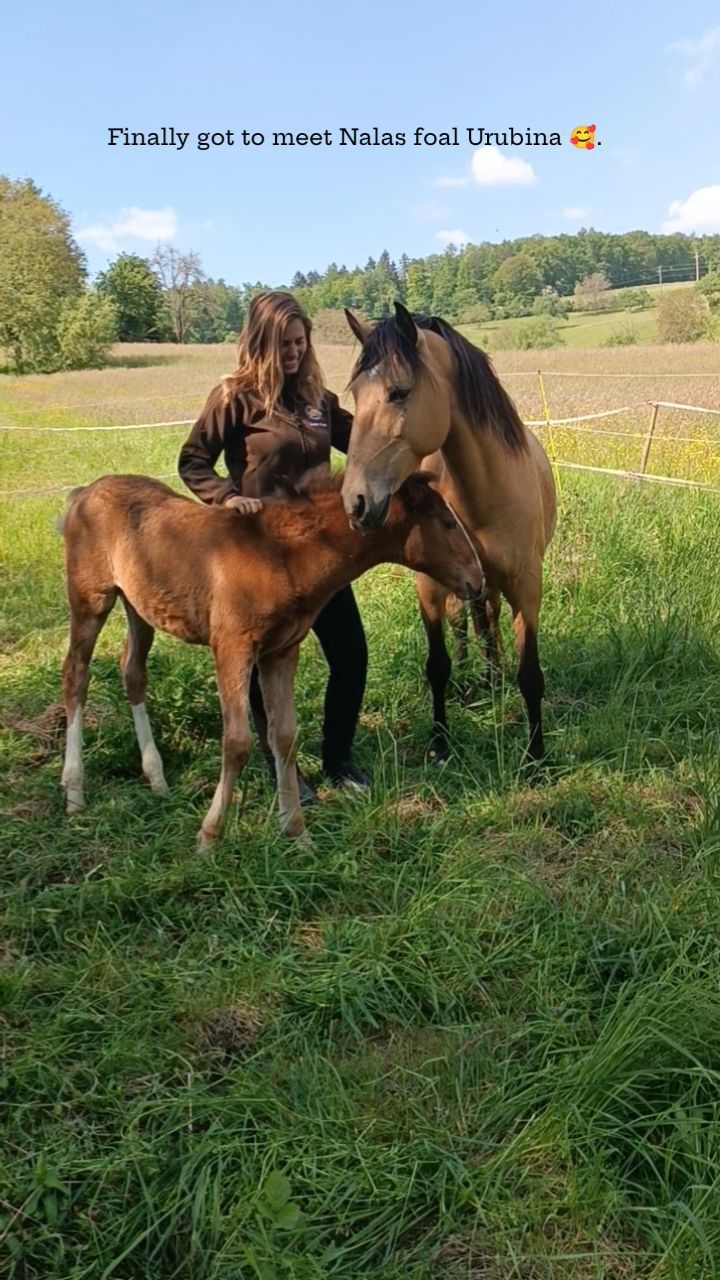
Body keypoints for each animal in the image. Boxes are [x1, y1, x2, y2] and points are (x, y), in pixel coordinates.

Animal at [58, 471, 484, 847]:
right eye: (448, 523)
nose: (477, 581)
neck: (282, 556)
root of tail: (83, 494)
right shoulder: (232, 648)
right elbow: (237, 741)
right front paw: (209, 837)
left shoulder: (281, 652)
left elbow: (284, 736)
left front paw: (297, 834)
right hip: (91, 601)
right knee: (75, 676)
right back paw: (75, 793)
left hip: (139, 607)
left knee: (133, 673)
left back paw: (157, 779)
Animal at [341, 302, 557, 764]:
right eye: (355, 394)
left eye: (398, 392)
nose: (356, 502)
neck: (484, 495)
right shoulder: (429, 585)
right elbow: (436, 665)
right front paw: (440, 743)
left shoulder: (527, 588)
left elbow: (530, 673)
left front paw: (536, 757)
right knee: (467, 623)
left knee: (488, 622)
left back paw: (493, 679)